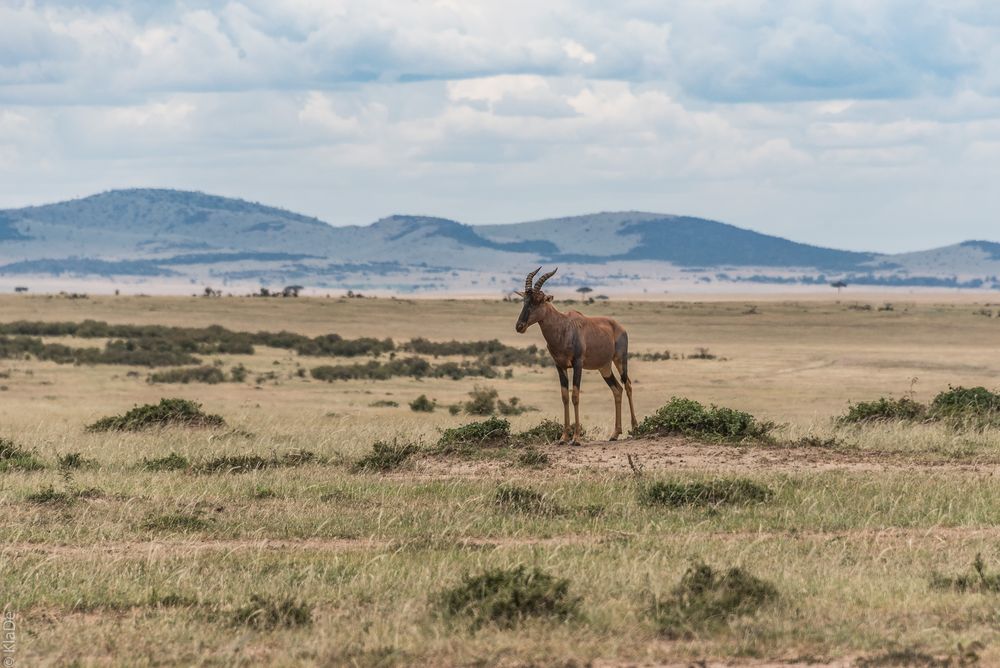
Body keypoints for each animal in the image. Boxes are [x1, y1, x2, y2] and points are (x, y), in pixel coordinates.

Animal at [516, 266, 640, 444]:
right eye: (525, 300)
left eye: (539, 300)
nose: (519, 326)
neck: (563, 327)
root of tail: (620, 327)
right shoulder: (560, 365)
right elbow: (564, 397)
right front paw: (563, 437)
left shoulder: (578, 364)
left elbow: (575, 395)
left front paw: (575, 438)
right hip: (604, 367)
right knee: (617, 389)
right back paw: (615, 434)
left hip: (620, 359)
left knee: (627, 384)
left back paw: (635, 427)